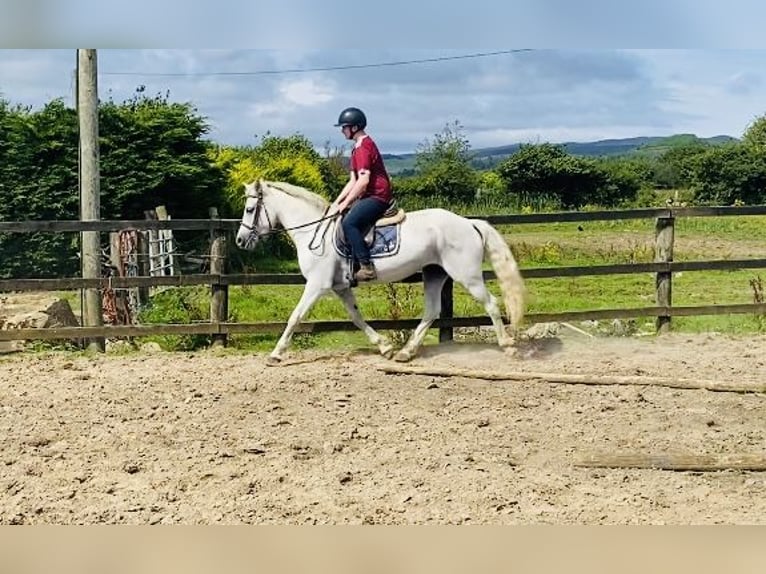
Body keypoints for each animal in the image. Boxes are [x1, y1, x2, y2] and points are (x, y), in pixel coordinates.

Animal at [236, 182, 528, 366]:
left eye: (250, 210)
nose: (240, 240)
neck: (314, 232)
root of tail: (469, 223)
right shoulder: (340, 287)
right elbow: (356, 317)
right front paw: (385, 347)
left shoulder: (317, 285)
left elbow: (295, 317)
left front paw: (275, 354)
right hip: (434, 273)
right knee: (432, 311)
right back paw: (405, 353)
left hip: (467, 275)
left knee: (491, 303)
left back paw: (508, 346)